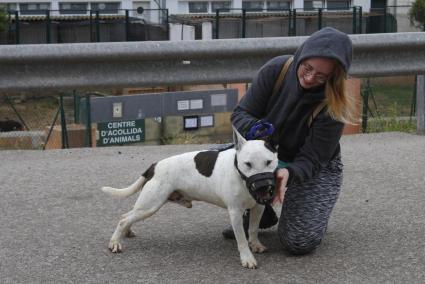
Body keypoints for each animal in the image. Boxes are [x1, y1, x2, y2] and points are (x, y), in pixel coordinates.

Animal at [101, 129, 276, 268]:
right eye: (248, 164)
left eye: (269, 162)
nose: (263, 186)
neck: (239, 173)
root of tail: (154, 166)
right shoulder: (235, 212)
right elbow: (241, 239)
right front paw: (247, 258)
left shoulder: (258, 207)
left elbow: (253, 229)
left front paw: (256, 245)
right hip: (150, 205)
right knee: (124, 218)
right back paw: (115, 242)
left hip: (147, 206)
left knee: (129, 215)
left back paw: (127, 231)